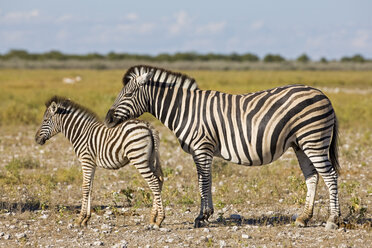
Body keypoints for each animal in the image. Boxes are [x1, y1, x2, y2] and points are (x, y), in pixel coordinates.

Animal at [36, 96, 164, 228]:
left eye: (45, 120)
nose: (36, 139)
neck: (80, 133)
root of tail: (148, 126)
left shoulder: (86, 161)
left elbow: (85, 187)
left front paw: (79, 219)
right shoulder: (92, 164)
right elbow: (90, 188)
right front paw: (86, 219)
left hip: (139, 158)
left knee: (153, 182)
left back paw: (160, 219)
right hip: (150, 159)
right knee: (159, 180)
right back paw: (153, 218)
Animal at [104, 65, 340, 230]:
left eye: (127, 94)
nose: (107, 119)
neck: (185, 110)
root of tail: (323, 94)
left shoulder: (202, 147)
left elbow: (203, 182)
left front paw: (202, 217)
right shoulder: (201, 151)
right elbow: (205, 180)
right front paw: (206, 214)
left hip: (313, 141)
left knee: (330, 176)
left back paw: (333, 219)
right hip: (300, 144)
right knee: (312, 177)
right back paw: (304, 218)